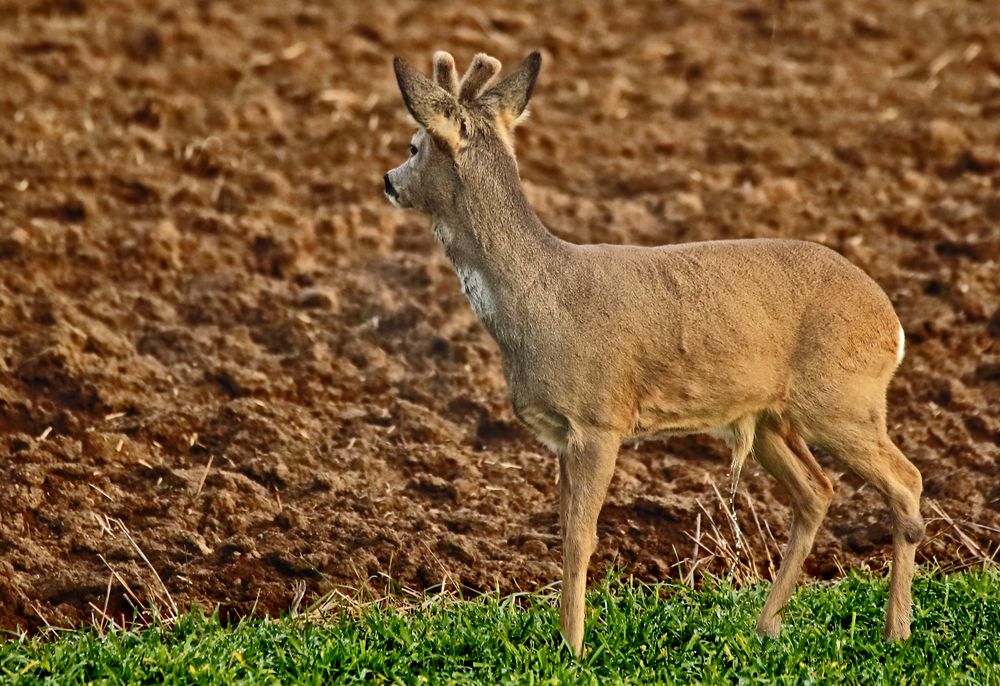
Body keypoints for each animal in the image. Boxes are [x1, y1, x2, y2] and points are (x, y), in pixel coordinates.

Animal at [380, 51, 920, 660]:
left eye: (413, 146)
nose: (388, 181)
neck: (538, 300)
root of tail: (893, 325)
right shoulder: (562, 435)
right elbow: (562, 530)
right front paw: (563, 638)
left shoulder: (598, 417)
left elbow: (581, 538)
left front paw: (573, 648)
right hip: (769, 417)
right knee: (817, 491)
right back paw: (766, 627)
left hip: (843, 398)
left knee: (907, 480)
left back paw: (896, 631)